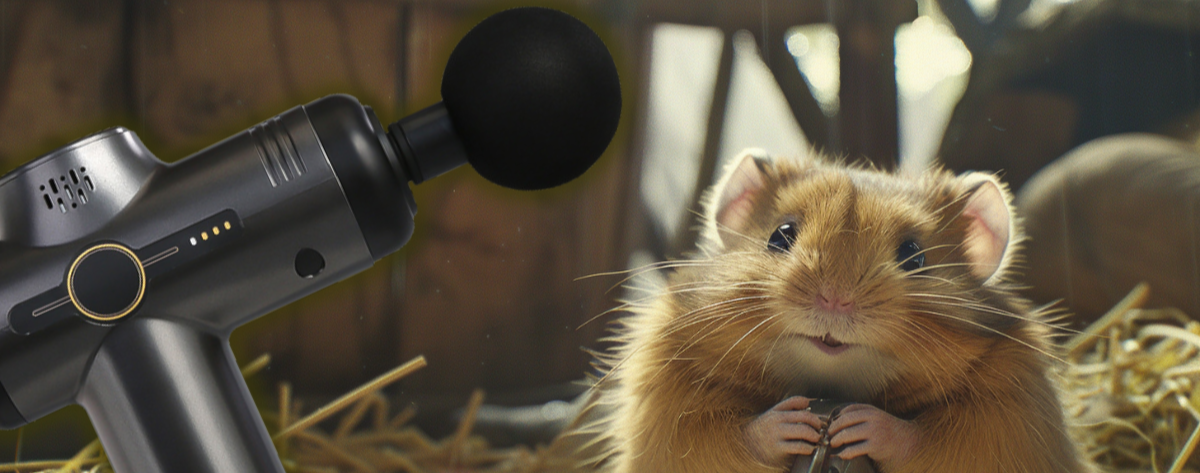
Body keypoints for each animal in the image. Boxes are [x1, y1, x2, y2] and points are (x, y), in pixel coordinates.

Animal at [569, 150, 1093, 473]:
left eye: (914, 256)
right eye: (780, 236)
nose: (834, 300)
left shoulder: (1002, 424)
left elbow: (924, 442)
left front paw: (857, 424)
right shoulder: (674, 420)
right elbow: (731, 437)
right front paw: (794, 423)